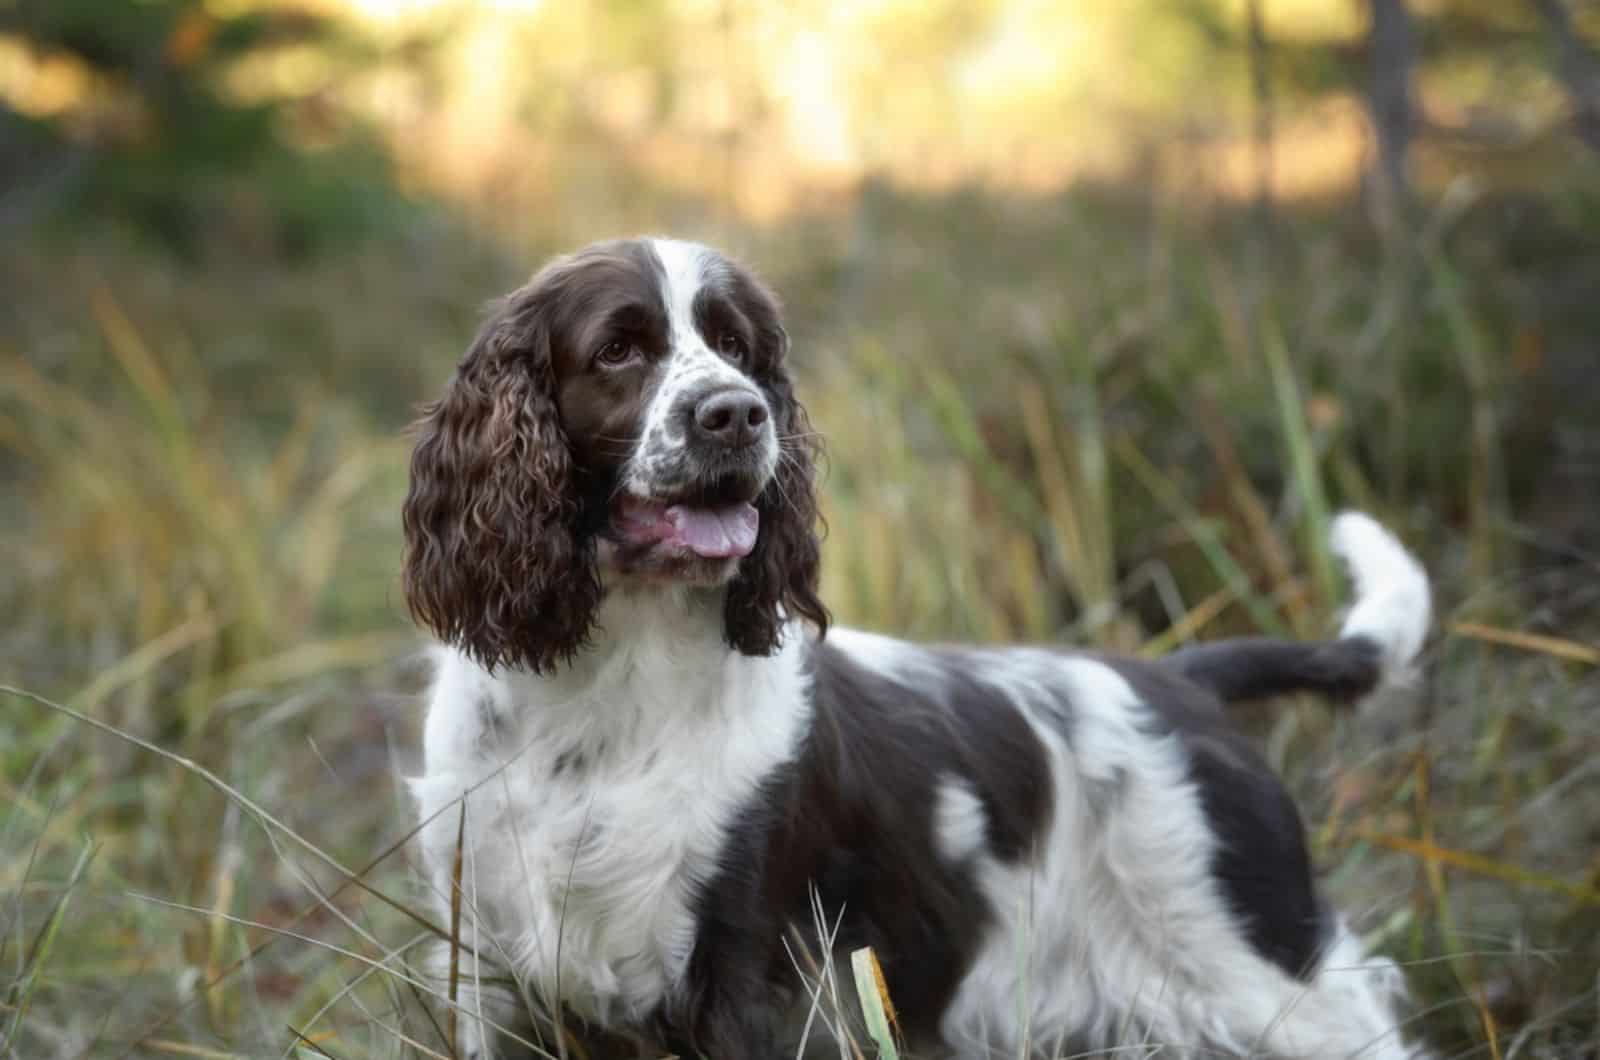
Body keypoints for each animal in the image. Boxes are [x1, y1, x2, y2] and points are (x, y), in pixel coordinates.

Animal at [406, 236, 1433, 1056]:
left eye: (739, 348)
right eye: (618, 349)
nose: (738, 412)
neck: (604, 693)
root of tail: (1178, 681)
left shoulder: (744, 975)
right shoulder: (486, 971)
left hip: (1264, 972)